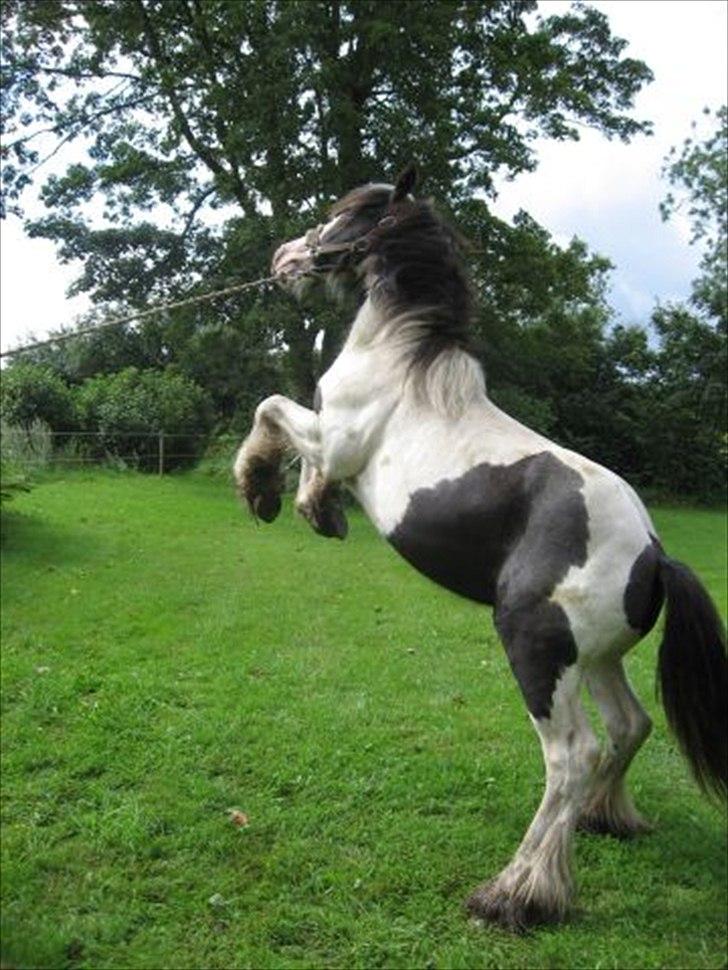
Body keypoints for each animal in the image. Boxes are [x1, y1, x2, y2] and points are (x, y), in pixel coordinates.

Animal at [236, 166, 724, 932]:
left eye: (348, 215)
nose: (285, 258)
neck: (397, 362)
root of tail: (653, 558)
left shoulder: (335, 439)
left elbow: (273, 410)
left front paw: (263, 489)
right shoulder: (331, 442)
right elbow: (293, 437)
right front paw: (318, 510)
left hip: (538, 653)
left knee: (572, 755)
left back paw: (515, 894)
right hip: (597, 660)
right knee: (630, 726)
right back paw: (602, 821)